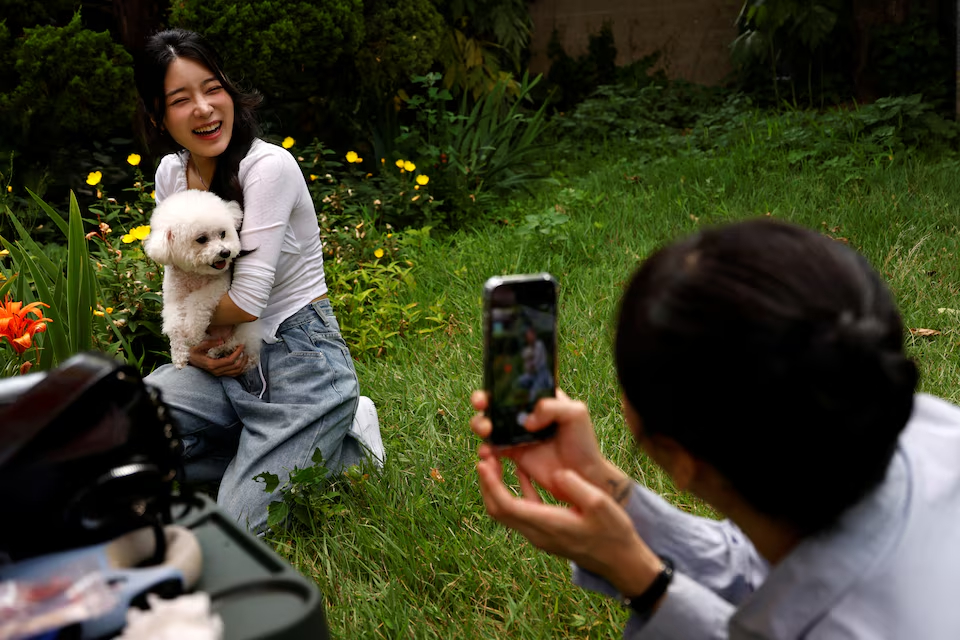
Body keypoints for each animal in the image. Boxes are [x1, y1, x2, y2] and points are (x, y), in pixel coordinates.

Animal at [144, 189, 260, 370]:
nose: (225, 252)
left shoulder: (219, 285)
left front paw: (192, 333)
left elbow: (197, 300)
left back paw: (221, 350)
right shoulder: (172, 298)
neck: (194, 274)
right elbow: (174, 323)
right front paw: (179, 355)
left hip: (244, 331)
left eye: (223, 234)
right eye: (201, 239)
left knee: (239, 343)